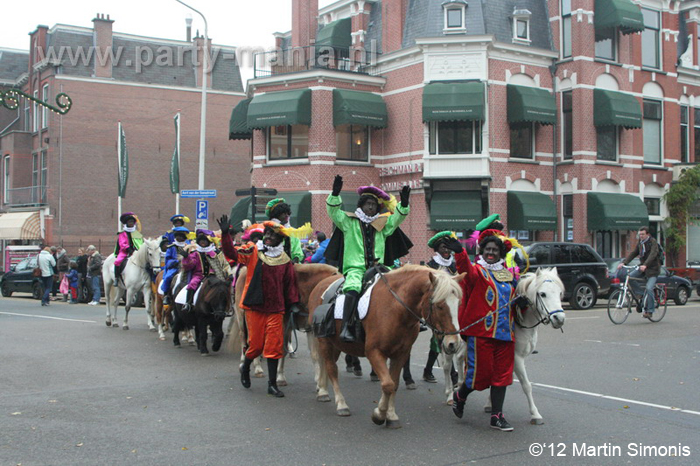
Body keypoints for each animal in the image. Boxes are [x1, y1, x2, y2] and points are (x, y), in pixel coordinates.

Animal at [308, 266, 464, 430]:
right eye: (440, 306)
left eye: (459, 305)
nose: (453, 343)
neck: (395, 309)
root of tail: (321, 284)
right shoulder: (374, 352)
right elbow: (388, 384)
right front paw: (379, 414)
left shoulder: (400, 354)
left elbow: (393, 384)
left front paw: (390, 415)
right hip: (324, 342)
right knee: (332, 369)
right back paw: (341, 404)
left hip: (336, 345)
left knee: (327, 365)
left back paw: (323, 391)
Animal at [484, 268, 568, 424]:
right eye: (543, 294)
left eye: (560, 293)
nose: (559, 319)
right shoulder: (516, 357)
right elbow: (526, 385)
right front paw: (535, 414)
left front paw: (490, 403)